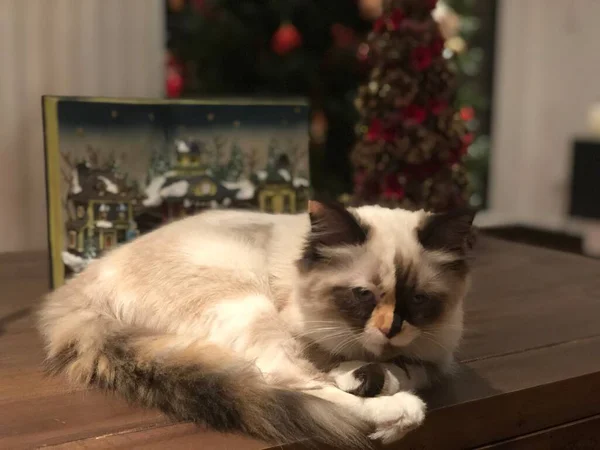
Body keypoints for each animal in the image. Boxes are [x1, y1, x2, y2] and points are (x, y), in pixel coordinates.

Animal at [37, 202, 476, 448]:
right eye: (363, 295)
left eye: (418, 299)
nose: (390, 329)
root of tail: (74, 296)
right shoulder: (299, 331)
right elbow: (322, 369)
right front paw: (372, 383)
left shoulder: (436, 356)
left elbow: (411, 369)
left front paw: (372, 375)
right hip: (246, 300)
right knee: (283, 379)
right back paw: (398, 412)